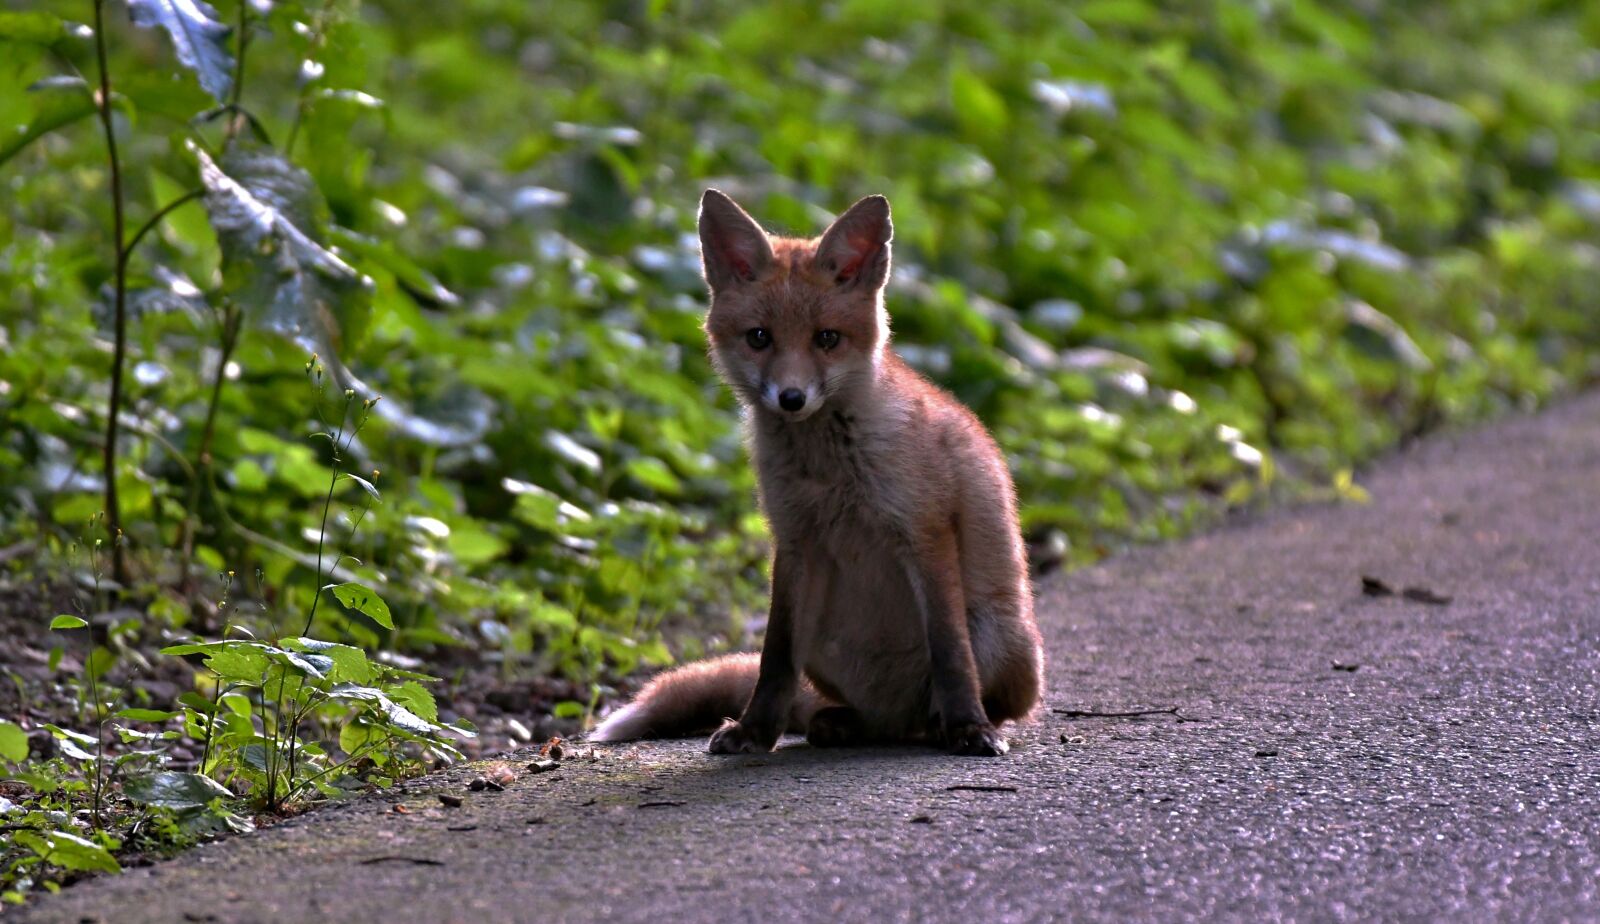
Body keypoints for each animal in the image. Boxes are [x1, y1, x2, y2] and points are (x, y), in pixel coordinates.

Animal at [590, 190, 1044, 756]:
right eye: (759, 337)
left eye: (827, 338)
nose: (791, 398)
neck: (830, 472)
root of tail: (897, 712)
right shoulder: (794, 541)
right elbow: (774, 658)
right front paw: (755, 731)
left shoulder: (925, 532)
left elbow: (950, 653)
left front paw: (968, 726)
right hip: (827, 654)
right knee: (856, 715)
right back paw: (842, 724)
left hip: (1004, 638)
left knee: (956, 701)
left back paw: (947, 722)